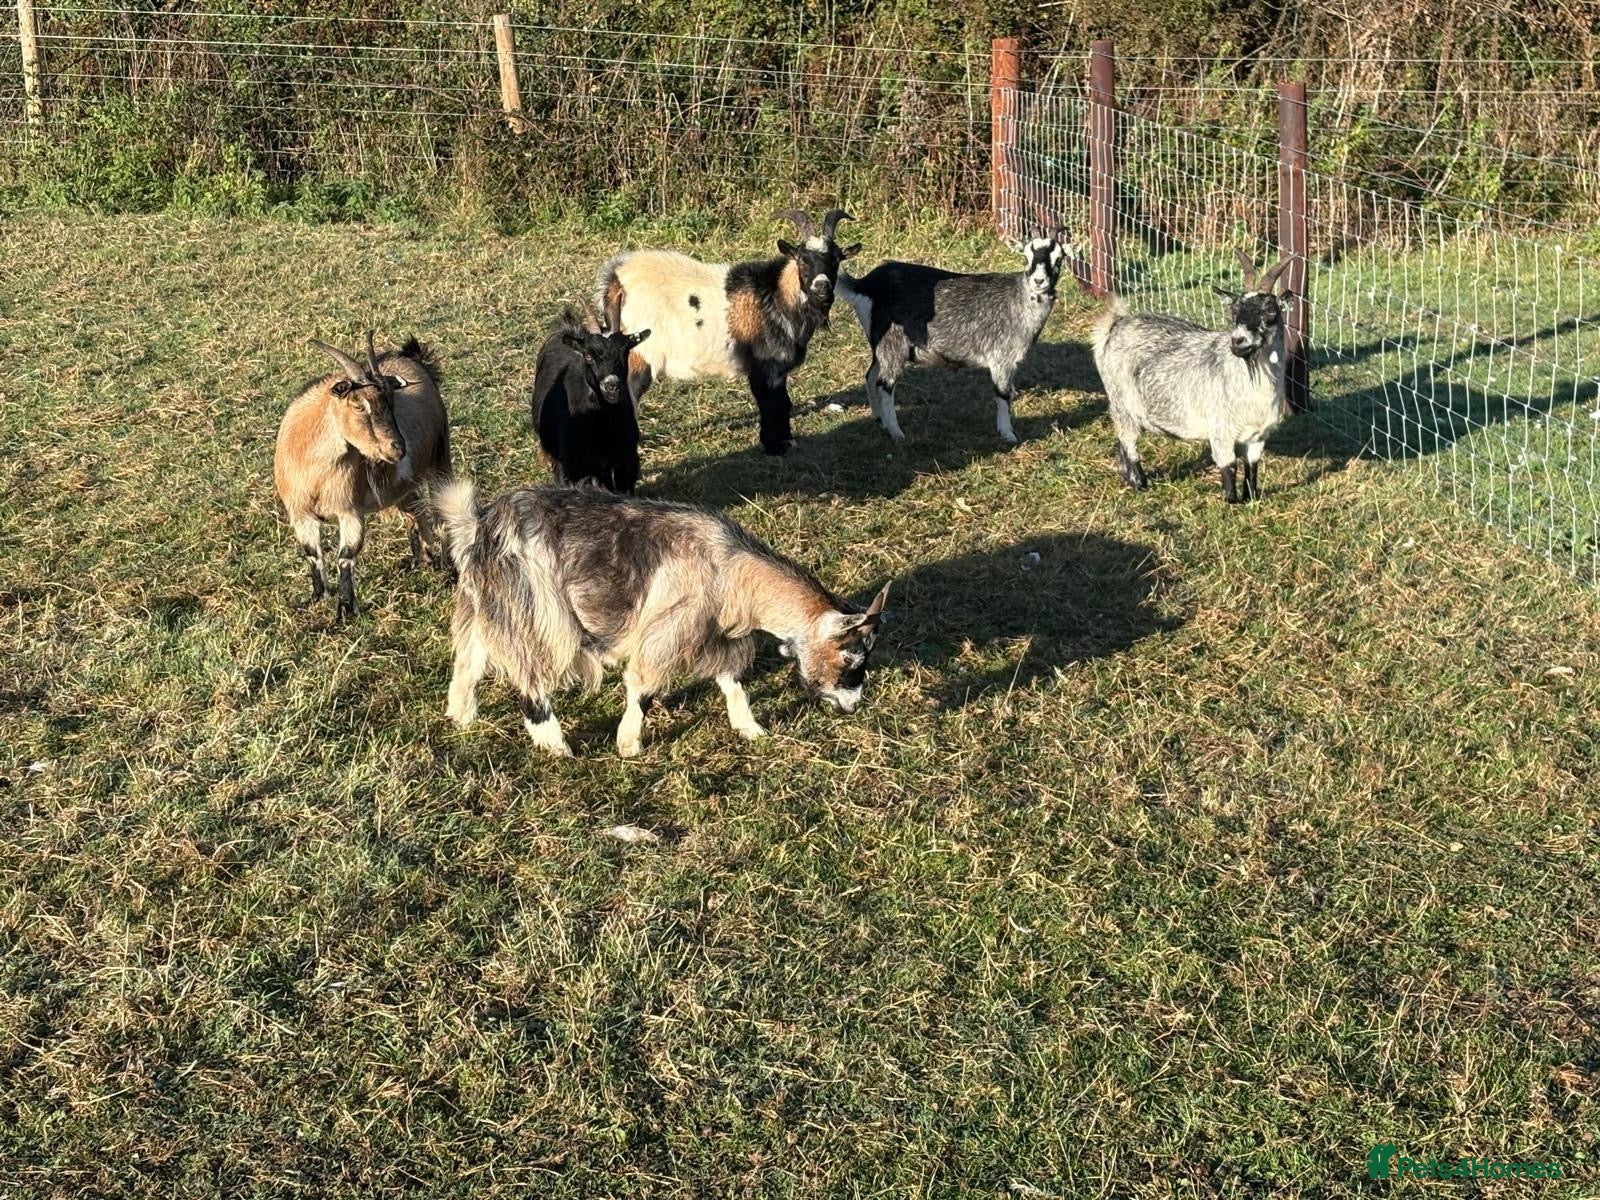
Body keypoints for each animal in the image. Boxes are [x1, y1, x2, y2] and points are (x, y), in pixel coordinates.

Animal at [274, 331, 451, 619]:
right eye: (358, 406)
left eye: (391, 401)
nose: (397, 448)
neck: (316, 474)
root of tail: (413, 359)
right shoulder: (300, 513)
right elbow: (312, 553)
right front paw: (317, 598)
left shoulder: (350, 510)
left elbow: (346, 556)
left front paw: (345, 610)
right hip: (399, 489)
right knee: (415, 510)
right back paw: (421, 559)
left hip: (441, 458)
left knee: (441, 512)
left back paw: (447, 568)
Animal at [436, 481, 890, 758]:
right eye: (851, 659)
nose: (854, 704)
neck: (730, 570)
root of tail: (479, 527)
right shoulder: (668, 630)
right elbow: (643, 687)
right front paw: (629, 744)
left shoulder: (713, 634)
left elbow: (732, 681)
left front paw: (750, 729)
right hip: (538, 615)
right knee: (530, 678)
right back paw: (556, 747)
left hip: (484, 606)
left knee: (468, 662)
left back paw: (461, 717)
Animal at [595, 209, 862, 456]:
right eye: (803, 259)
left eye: (836, 259)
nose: (822, 287)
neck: (775, 295)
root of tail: (615, 279)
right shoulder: (765, 366)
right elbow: (773, 403)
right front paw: (775, 446)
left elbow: (782, 402)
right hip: (641, 353)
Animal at [837, 229, 1073, 444]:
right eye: (1026, 256)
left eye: (1059, 258)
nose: (1039, 281)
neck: (1018, 302)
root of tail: (865, 284)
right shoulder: (1001, 357)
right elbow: (1002, 394)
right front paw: (1008, 434)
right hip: (893, 344)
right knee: (885, 384)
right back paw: (896, 432)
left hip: (879, 345)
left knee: (870, 376)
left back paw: (880, 419)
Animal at [1092, 250, 1296, 503]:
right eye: (1234, 311)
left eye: (1270, 311)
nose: (1237, 342)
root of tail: (1115, 324)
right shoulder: (1221, 431)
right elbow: (1229, 468)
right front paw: (1232, 501)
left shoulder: (1258, 437)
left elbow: (1252, 467)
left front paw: (1250, 498)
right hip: (1121, 401)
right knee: (1128, 440)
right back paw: (1140, 483)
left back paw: (1127, 477)